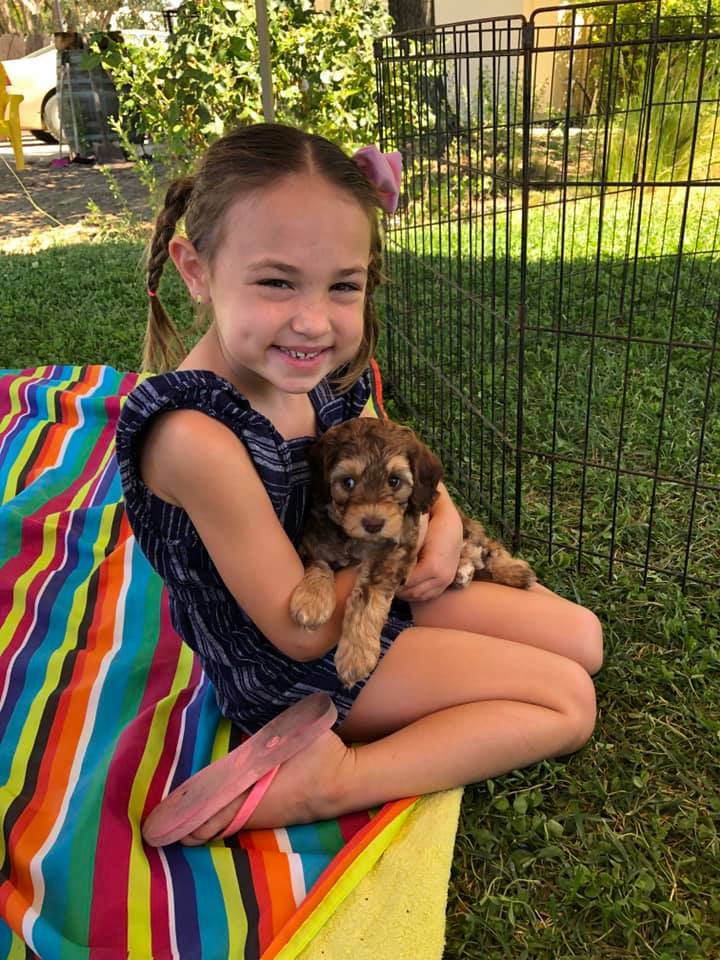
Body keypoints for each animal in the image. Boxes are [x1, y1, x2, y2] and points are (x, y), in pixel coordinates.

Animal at [288, 424, 536, 688]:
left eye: (394, 481)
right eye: (348, 482)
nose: (373, 523)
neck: (354, 539)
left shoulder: (396, 548)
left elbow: (367, 594)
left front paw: (356, 656)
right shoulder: (312, 538)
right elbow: (318, 562)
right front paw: (312, 600)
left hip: (467, 529)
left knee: (486, 546)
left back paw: (516, 571)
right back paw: (464, 572)